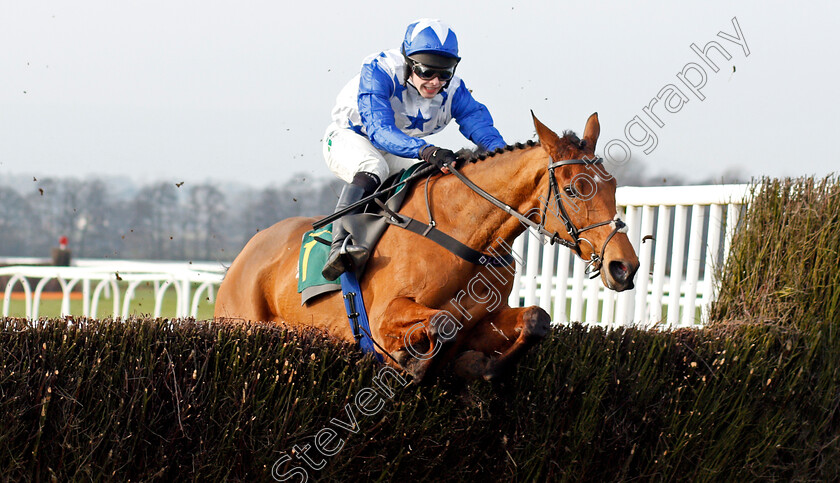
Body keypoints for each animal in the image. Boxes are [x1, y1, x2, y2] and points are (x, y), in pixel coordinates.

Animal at [215, 113, 636, 382]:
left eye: (613, 184)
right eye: (572, 189)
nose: (624, 266)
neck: (464, 234)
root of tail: (244, 254)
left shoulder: (479, 323)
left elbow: (536, 319)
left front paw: (480, 368)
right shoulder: (383, 319)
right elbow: (440, 322)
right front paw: (416, 364)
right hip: (242, 321)